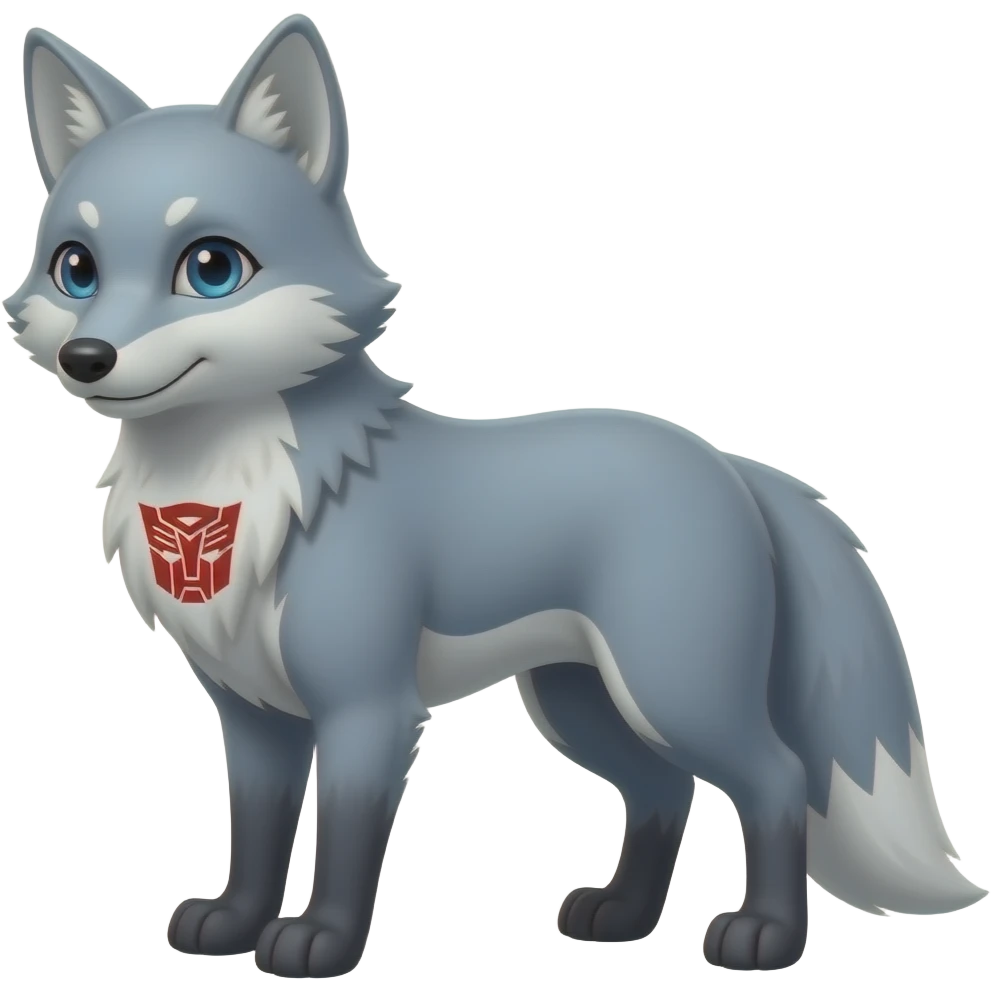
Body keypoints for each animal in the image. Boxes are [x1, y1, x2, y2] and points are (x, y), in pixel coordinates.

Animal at [7, 14, 986, 980]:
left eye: (210, 267)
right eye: (75, 268)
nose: (88, 357)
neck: (226, 500)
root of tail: (727, 462)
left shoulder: (368, 707)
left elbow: (346, 840)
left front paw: (320, 942)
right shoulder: (252, 714)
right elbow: (254, 833)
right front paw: (234, 923)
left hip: (672, 688)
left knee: (776, 777)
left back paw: (764, 937)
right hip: (580, 702)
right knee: (663, 790)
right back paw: (621, 915)